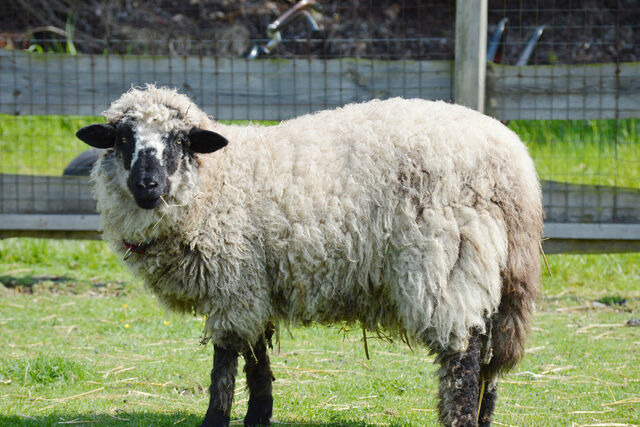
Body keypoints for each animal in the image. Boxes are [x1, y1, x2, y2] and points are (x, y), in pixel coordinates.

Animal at [77, 85, 544, 426]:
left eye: (178, 140)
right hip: (495, 273)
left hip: (447, 261)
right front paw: (259, 415)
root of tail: (513, 165)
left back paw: (460, 417)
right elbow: (256, 356)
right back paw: (483, 418)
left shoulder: (234, 281)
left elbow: (225, 360)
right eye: (123, 139)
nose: (147, 185)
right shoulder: (254, 284)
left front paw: (217, 418)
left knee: (464, 355)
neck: (218, 182)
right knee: (488, 359)